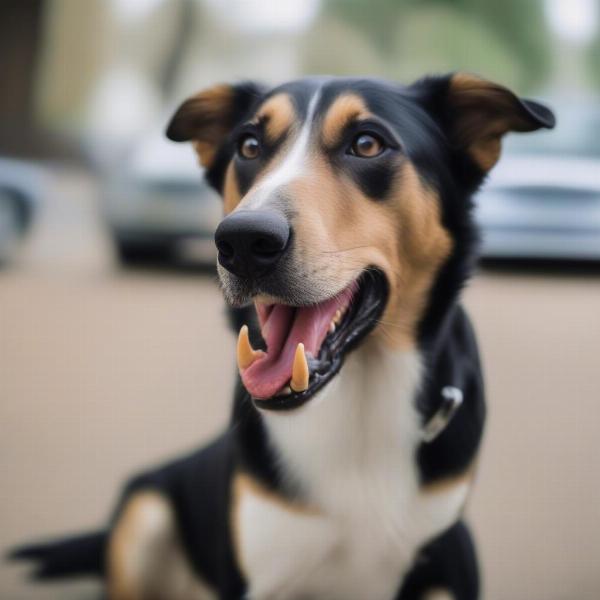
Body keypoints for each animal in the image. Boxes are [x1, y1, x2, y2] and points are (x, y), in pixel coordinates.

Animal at [10, 75, 552, 600]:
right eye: (249, 146)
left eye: (368, 143)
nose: (243, 241)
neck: (359, 401)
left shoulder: (447, 553)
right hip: (144, 516)